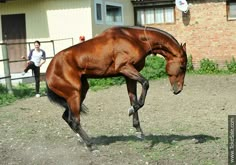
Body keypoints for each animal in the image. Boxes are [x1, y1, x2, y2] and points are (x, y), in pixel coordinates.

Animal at [45, 26, 186, 150]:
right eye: (182, 67)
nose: (178, 90)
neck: (134, 38)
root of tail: (49, 70)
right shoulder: (125, 67)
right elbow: (145, 84)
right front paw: (131, 111)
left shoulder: (129, 77)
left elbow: (134, 100)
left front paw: (138, 131)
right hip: (74, 94)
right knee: (74, 120)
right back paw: (91, 145)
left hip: (80, 93)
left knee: (67, 118)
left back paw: (82, 140)